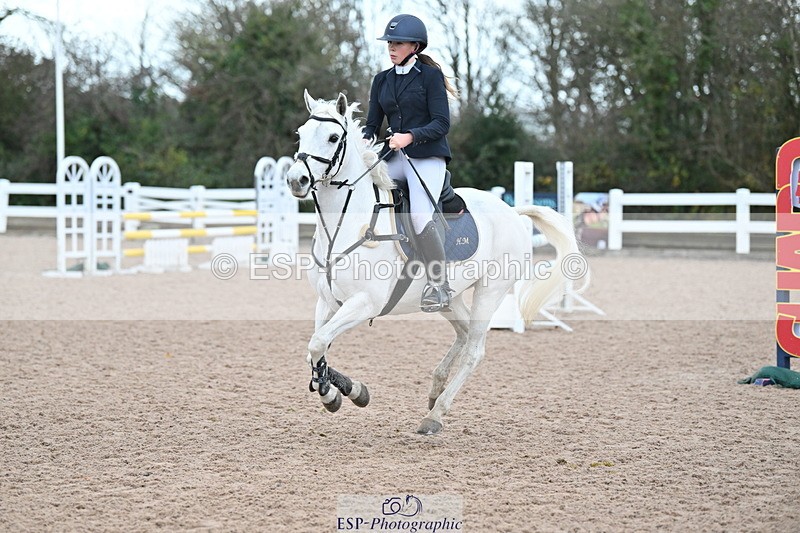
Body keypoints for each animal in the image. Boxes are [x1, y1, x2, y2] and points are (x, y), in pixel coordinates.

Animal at [285, 90, 583, 435]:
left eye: (333, 138)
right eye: (300, 134)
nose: (296, 180)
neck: (345, 224)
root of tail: (511, 210)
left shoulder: (364, 303)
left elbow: (318, 342)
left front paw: (344, 392)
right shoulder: (327, 302)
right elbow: (315, 350)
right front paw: (338, 391)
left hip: (490, 291)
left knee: (475, 350)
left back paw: (436, 414)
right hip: (450, 298)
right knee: (464, 334)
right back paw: (435, 389)